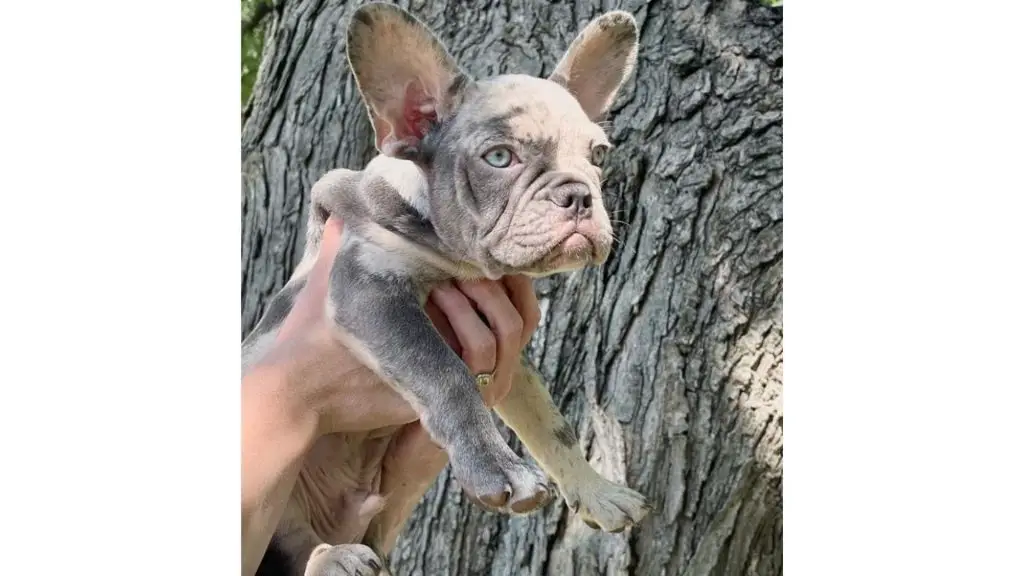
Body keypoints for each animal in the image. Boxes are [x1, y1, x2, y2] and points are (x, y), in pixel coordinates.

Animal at [241, 4, 647, 573]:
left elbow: (552, 422)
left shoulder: (510, 357)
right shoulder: (368, 289)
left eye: (599, 155)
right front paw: (501, 469)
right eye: (499, 158)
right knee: (292, 545)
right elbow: (445, 373)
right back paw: (333, 557)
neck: (460, 262)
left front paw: (597, 492)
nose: (579, 195)